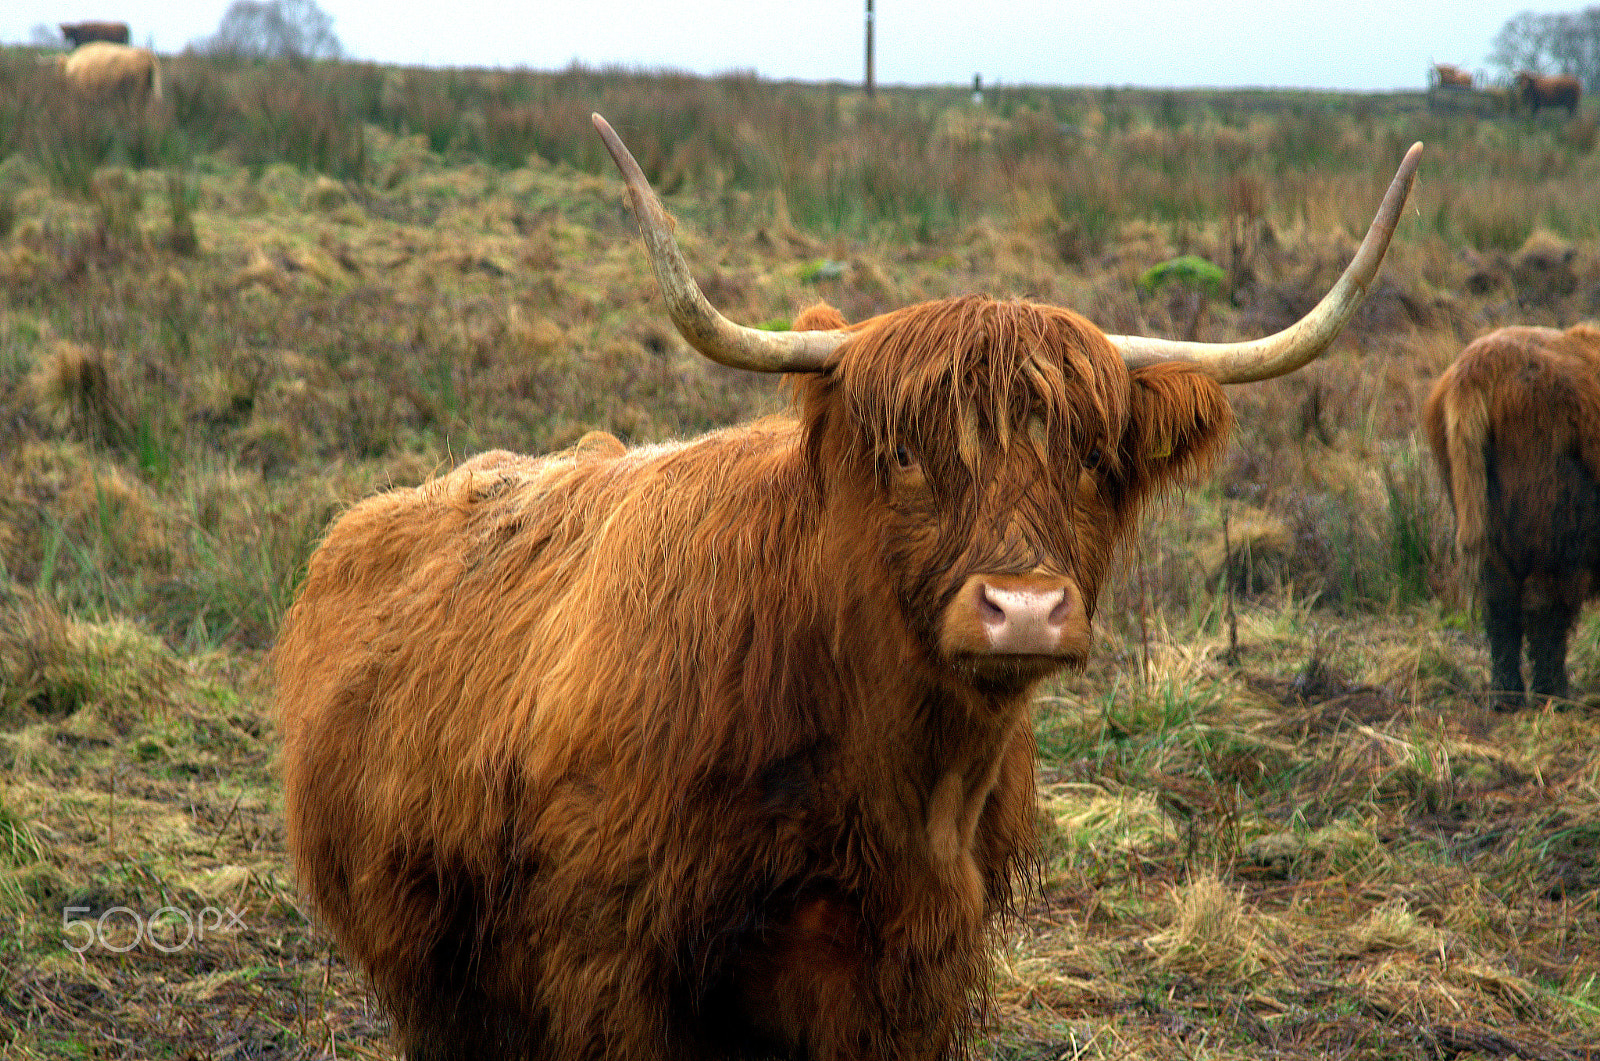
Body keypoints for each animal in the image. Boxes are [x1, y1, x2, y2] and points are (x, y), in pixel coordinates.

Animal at [272, 115, 1421, 1061]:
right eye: (906, 455)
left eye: (1095, 462)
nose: (1024, 608)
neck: (900, 777)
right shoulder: (606, 961)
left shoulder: (909, 970)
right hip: (429, 971)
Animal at [1424, 324, 1600, 709]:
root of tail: (1476, 369)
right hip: (1554, 524)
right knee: (1544, 606)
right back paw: (1554, 693)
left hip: (1485, 520)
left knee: (1499, 603)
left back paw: (1506, 694)